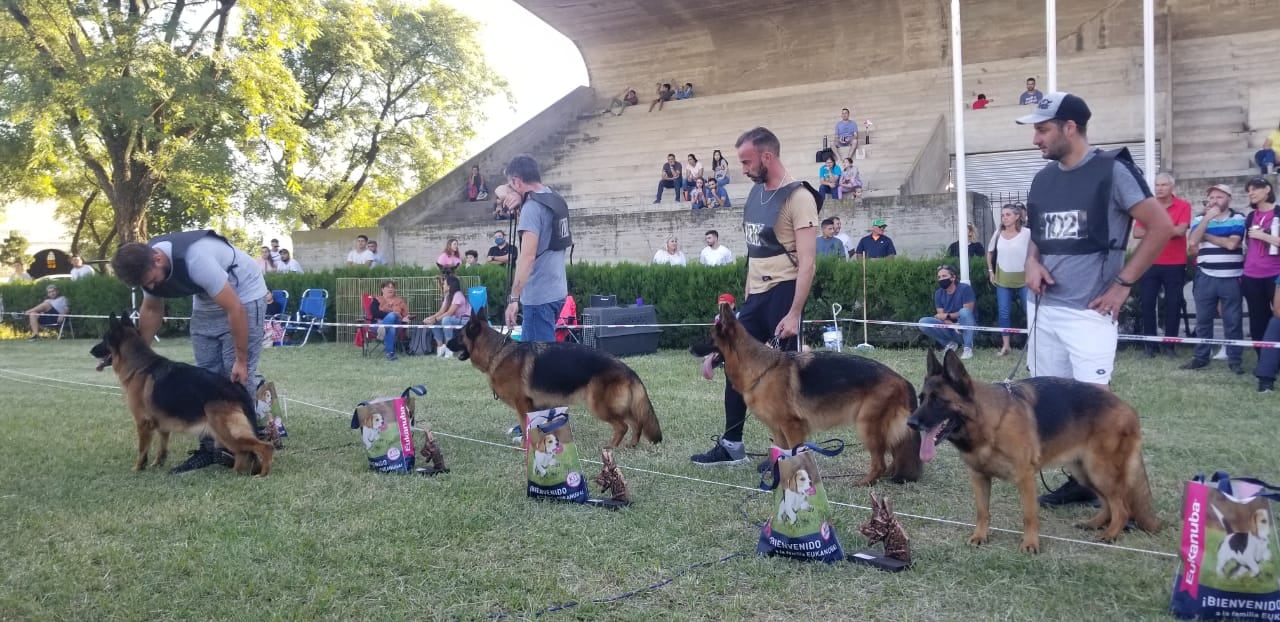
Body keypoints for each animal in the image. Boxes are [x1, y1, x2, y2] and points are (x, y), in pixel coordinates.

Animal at [88, 316, 273, 476]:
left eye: (104, 340)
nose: (91, 351)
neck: (139, 367)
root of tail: (236, 387)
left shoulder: (142, 423)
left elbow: (142, 449)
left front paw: (138, 467)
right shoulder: (162, 425)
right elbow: (162, 447)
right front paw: (158, 464)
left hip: (226, 432)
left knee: (265, 447)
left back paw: (262, 474)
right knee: (246, 452)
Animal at [445, 311, 665, 447]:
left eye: (458, 335)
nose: (446, 344)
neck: (497, 352)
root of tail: (628, 369)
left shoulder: (522, 405)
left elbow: (525, 428)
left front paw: (525, 447)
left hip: (599, 407)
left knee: (623, 425)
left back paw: (610, 448)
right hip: (618, 406)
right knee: (637, 423)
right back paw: (631, 445)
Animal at [691, 300, 921, 486]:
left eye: (709, 337)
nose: (690, 349)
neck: (761, 370)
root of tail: (902, 379)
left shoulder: (792, 427)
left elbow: (796, 455)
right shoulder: (778, 430)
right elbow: (781, 457)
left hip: (867, 426)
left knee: (879, 461)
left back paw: (866, 482)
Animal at [911, 350, 1162, 552]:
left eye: (938, 401)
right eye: (921, 398)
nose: (911, 423)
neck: (991, 422)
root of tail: (1128, 409)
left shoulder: (1025, 478)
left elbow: (1029, 515)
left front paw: (1031, 544)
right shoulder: (979, 477)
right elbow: (982, 512)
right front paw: (979, 536)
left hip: (1100, 471)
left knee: (1122, 507)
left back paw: (1110, 534)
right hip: (1084, 472)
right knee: (1108, 503)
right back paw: (1094, 524)